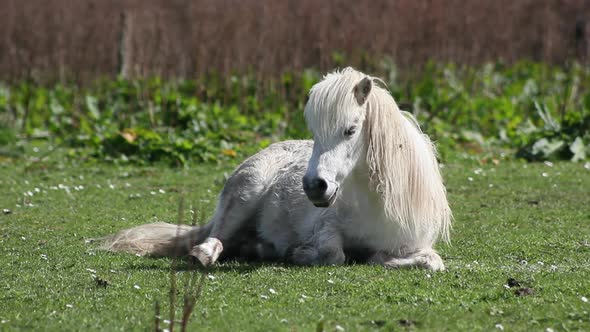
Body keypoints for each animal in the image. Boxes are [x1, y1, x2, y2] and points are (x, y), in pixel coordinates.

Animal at [102, 67, 454, 270]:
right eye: (314, 133)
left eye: (350, 130)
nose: (314, 186)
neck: (376, 205)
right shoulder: (324, 229)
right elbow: (334, 254)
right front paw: (299, 254)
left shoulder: (416, 244)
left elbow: (431, 262)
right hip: (245, 195)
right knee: (215, 237)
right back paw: (208, 253)